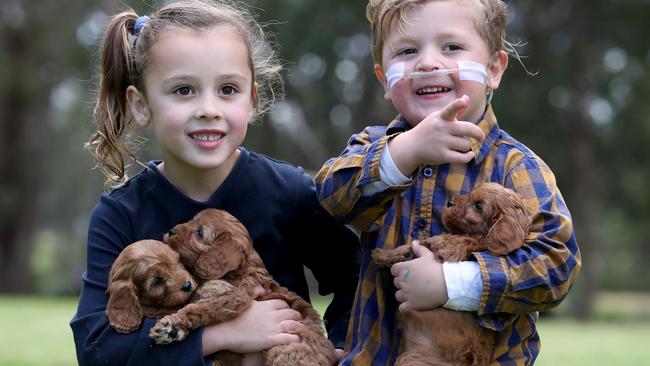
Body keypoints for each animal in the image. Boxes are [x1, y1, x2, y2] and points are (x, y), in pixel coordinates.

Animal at [149, 209, 336, 366]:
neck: (238, 271)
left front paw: (173, 325)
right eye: (191, 221)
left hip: (285, 348)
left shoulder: (235, 297)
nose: (171, 231)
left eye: (200, 233)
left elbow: (199, 307)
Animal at [370, 183, 532, 366]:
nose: (450, 202)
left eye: (478, 206)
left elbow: (451, 241)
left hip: (415, 360)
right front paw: (382, 254)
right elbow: (411, 245)